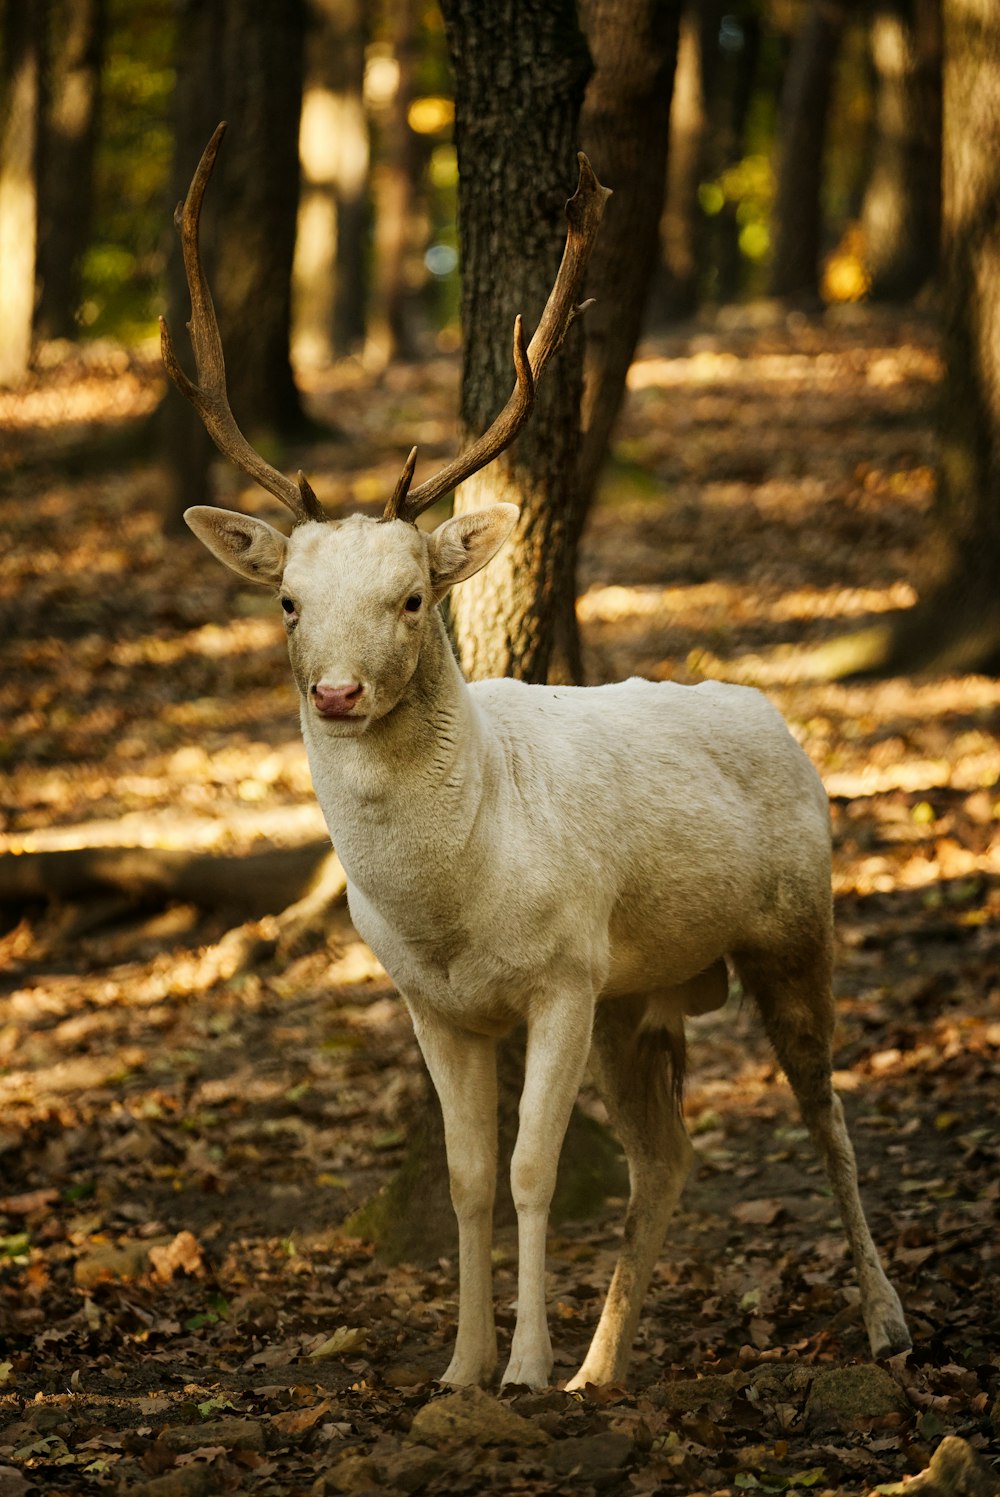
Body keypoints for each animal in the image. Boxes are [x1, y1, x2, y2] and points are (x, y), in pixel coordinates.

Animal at [160, 128, 910, 1389]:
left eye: (412, 597)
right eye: (287, 601)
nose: (337, 692)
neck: (452, 908)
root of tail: (775, 716)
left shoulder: (563, 968)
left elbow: (528, 1171)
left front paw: (519, 1368)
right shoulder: (435, 1004)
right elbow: (468, 1180)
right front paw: (461, 1366)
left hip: (792, 928)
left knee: (829, 1112)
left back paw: (883, 1322)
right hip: (639, 990)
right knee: (667, 1156)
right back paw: (603, 1368)